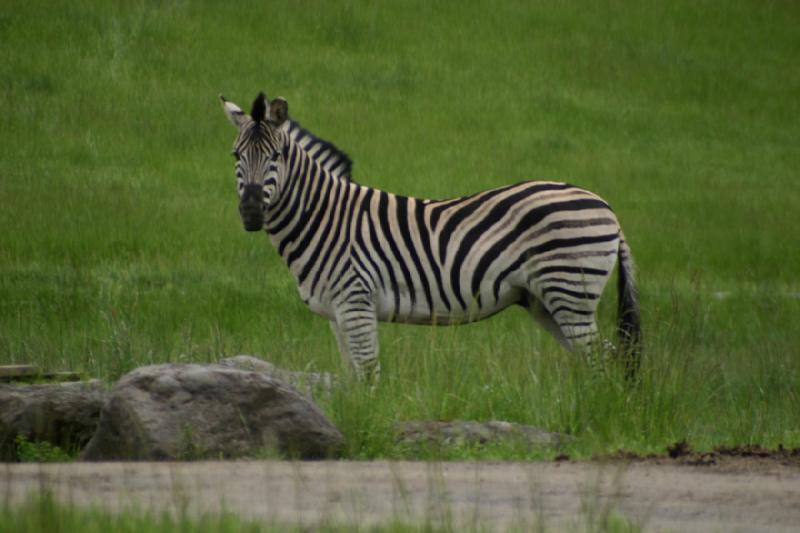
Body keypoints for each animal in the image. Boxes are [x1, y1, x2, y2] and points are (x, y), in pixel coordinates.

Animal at [220, 93, 644, 380]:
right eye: (235, 156)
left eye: (276, 157)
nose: (251, 212)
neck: (324, 218)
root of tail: (606, 207)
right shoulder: (336, 313)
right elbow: (352, 377)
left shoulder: (356, 302)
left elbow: (369, 375)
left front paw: (372, 421)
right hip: (547, 301)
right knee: (608, 355)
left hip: (570, 290)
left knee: (599, 358)